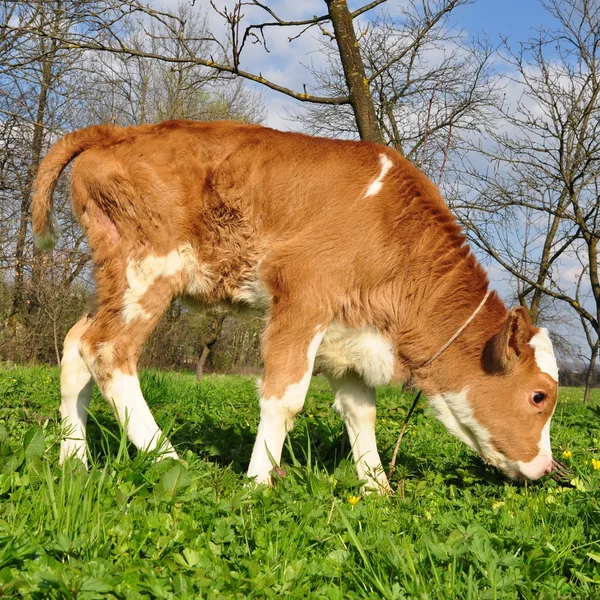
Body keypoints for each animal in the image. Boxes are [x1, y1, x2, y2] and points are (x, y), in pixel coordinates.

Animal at [31, 119, 556, 490]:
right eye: (539, 396)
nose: (547, 468)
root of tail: (121, 131)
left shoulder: (351, 333)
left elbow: (361, 412)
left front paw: (378, 491)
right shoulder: (303, 299)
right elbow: (283, 399)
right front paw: (257, 484)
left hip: (114, 277)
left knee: (76, 341)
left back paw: (74, 461)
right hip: (149, 269)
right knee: (107, 350)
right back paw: (172, 463)